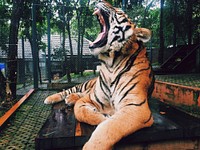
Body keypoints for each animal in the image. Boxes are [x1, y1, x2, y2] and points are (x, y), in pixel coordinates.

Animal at [44, 0, 155, 149]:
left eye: (119, 11)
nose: (102, 1)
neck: (110, 64)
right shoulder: (90, 99)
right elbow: (81, 111)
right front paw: (102, 117)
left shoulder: (136, 107)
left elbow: (110, 126)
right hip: (85, 85)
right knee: (69, 90)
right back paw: (52, 98)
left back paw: (70, 99)